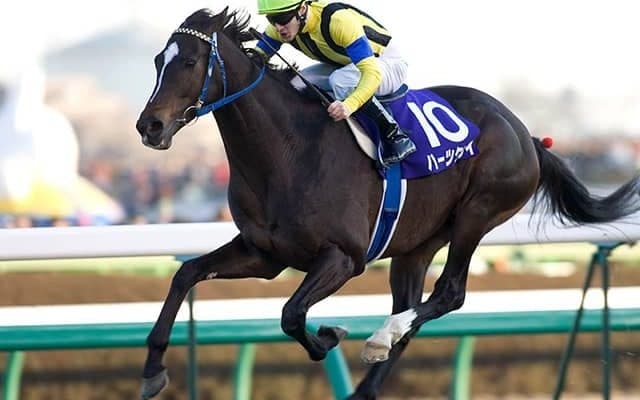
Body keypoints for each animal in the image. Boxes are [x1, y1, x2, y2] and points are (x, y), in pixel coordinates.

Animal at [135, 8, 640, 400]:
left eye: (192, 61)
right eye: (159, 60)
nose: (149, 126)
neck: (289, 151)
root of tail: (526, 134)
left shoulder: (344, 257)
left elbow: (292, 314)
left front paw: (330, 336)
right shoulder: (264, 254)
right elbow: (186, 273)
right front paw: (153, 369)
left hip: (477, 213)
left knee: (449, 293)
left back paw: (381, 336)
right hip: (417, 244)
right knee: (412, 307)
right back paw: (371, 373)